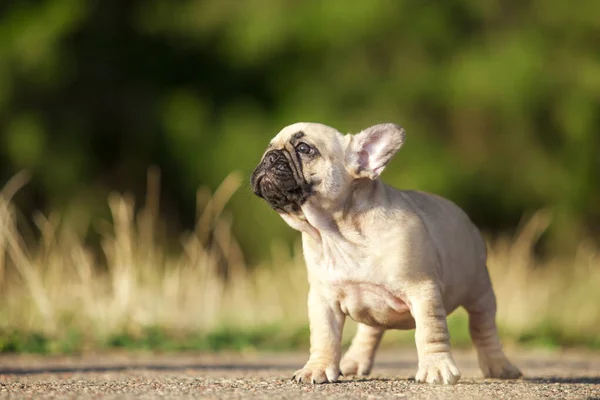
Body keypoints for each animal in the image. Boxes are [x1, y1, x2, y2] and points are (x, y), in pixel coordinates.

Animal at [248, 122, 520, 384]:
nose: (269, 157)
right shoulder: (323, 300)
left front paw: (437, 368)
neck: (339, 232)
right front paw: (317, 368)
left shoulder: (423, 290)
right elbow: (324, 337)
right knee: (370, 331)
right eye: (269, 147)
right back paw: (354, 362)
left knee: (483, 329)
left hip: (480, 291)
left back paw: (500, 367)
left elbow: (430, 331)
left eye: (304, 149)